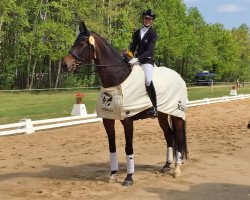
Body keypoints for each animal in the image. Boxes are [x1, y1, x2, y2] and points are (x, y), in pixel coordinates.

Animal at [62, 21, 188, 186]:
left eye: (82, 44)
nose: (65, 64)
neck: (117, 79)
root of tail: (178, 77)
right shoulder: (108, 120)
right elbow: (112, 147)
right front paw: (113, 175)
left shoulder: (128, 120)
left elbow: (129, 148)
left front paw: (129, 178)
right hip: (162, 114)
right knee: (169, 135)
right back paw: (167, 165)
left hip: (177, 114)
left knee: (178, 137)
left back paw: (177, 170)